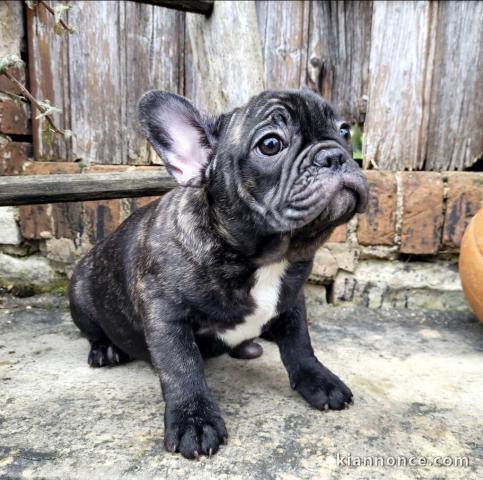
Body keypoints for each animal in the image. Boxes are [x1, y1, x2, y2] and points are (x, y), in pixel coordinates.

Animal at [70, 88, 368, 460]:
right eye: (271, 144)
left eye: (344, 132)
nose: (334, 155)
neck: (266, 257)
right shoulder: (164, 313)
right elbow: (181, 366)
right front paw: (194, 420)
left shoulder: (292, 299)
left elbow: (300, 344)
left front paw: (319, 381)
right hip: (80, 290)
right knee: (93, 331)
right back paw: (104, 351)